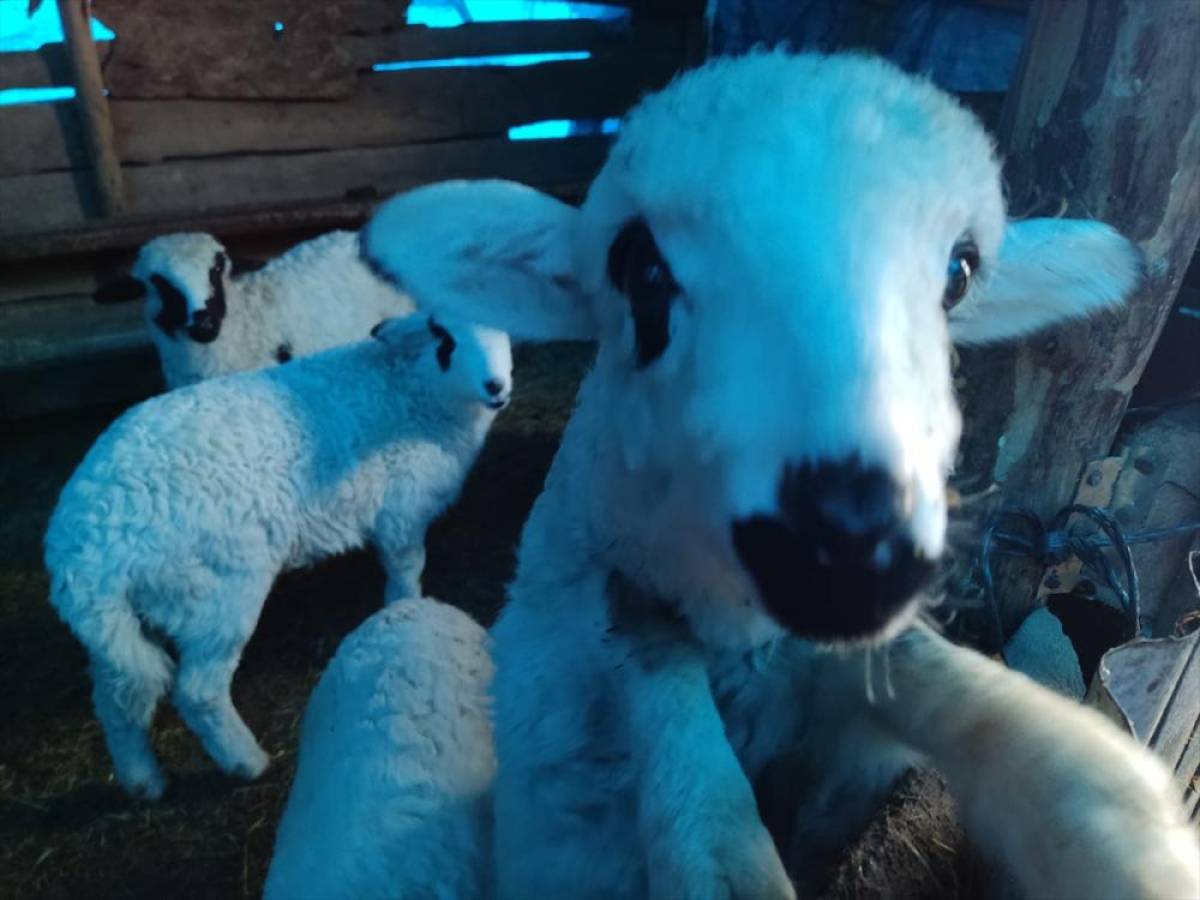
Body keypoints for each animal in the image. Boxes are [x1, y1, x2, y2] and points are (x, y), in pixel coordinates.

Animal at [43, 314, 511, 800]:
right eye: (444, 336)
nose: (497, 386)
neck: (415, 389)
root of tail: (84, 553)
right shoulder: (402, 512)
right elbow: (407, 572)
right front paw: (406, 613)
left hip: (123, 625)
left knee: (118, 696)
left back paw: (143, 781)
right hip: (216, 592)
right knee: (198, 692)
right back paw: (248, 762)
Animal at [351, 52, 1200, 898]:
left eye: (959, 274)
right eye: (639, 268)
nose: (849, 553)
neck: (743, 646)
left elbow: (981, 702)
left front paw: (1122, 836)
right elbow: (705, 821)